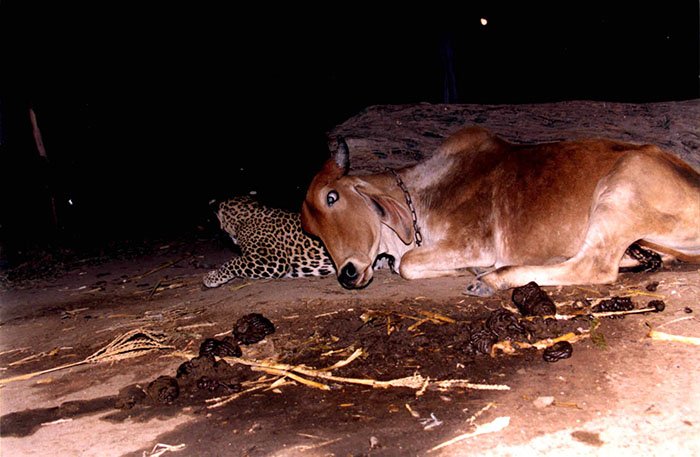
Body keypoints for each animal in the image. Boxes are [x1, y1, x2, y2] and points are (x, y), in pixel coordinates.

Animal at [301, 126, 700, 296]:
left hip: (621, 187)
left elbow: (407, 265)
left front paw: (467, 270)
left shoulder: (474, 242)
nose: (348, 274)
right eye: (311, 231)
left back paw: (493, 279)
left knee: (595, 267)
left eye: (332, 197)